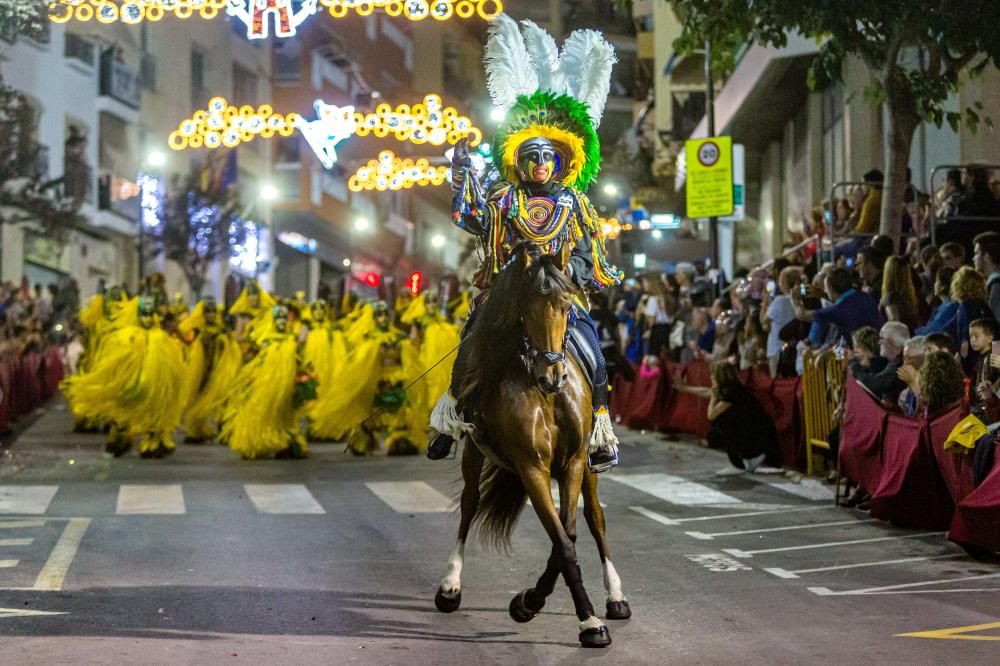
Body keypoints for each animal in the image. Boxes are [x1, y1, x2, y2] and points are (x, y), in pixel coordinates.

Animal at [432, 244, 632, 648]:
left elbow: (568, 534)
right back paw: (450, 586)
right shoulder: (531, 466)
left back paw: (616, 597)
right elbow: (563, 542)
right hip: (475, 451)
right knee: (469, 504)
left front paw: (546, 605)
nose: (553, 375)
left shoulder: (573, 462)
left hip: (590, 461)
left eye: (566, 306)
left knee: (595, 518)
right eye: (526, 308)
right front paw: (573, 616)